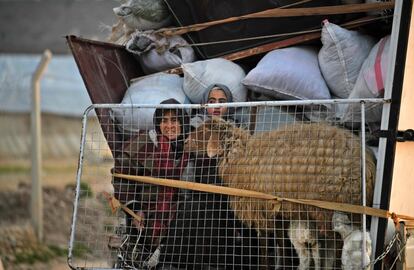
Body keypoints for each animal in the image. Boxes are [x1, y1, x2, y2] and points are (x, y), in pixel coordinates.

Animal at [186, 117, 376, 237]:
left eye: (203, 131)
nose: (185, 142)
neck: (239, 155)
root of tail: (369, 167)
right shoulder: (276, 211)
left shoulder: (257, 208)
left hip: (329, 206)